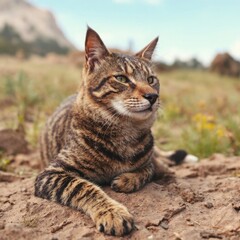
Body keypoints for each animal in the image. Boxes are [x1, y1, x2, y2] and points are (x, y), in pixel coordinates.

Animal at [34, 26, 182, 236]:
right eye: (121, 78)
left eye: (151, 79)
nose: (153, 96)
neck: (125, 131)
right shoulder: (51, 173)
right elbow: (83, 187)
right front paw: (112, 213)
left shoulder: (148, 161)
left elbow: (148, 169)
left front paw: (128, 179)